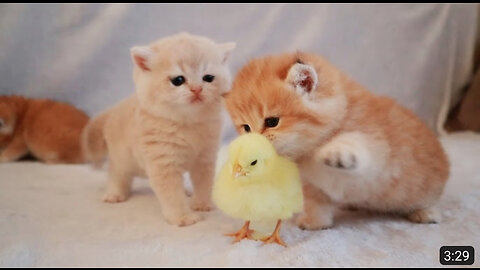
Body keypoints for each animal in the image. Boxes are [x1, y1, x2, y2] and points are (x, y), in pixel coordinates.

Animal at [83, 32, 236, 227]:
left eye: (208, 78)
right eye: (178, 80)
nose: (197, 89)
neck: (187, 124)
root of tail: (114, 110)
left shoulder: (205, 158)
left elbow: (204, 184)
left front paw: (202, 204)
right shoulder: (163, 163)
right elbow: (172, 195)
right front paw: (182, 217)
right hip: (122, 158)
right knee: (116, 173)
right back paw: (114, 193)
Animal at [225, 51, 450, 229]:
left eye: (272, 122)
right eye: (246, 128)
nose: (252, 145)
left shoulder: (379, 151)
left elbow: (358, 143)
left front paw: (334, 152)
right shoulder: (311, 185)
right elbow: (316, 204)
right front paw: (314, 223)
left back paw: (427, 213)